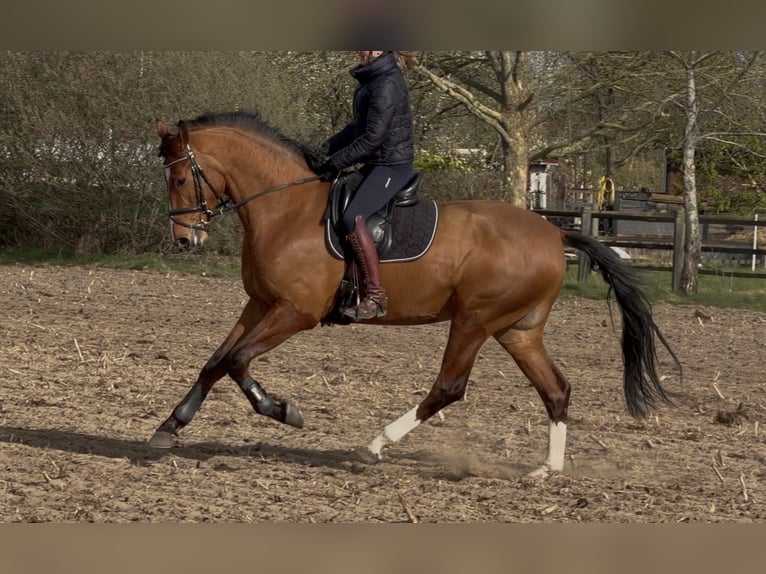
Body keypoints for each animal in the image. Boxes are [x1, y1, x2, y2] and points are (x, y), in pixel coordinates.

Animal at [152, 110, 681, 476]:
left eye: (178, 178)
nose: (183, 240)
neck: (285, 207)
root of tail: (554, 232)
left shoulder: (294, 312)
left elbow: (239, 361)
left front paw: (284, 411)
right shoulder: (259, 304)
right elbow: (217, 361)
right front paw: (169, 427)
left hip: (474, 321)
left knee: (449, 387)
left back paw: (375, 444)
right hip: (517, 330)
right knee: (555, 388)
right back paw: (546, 470)